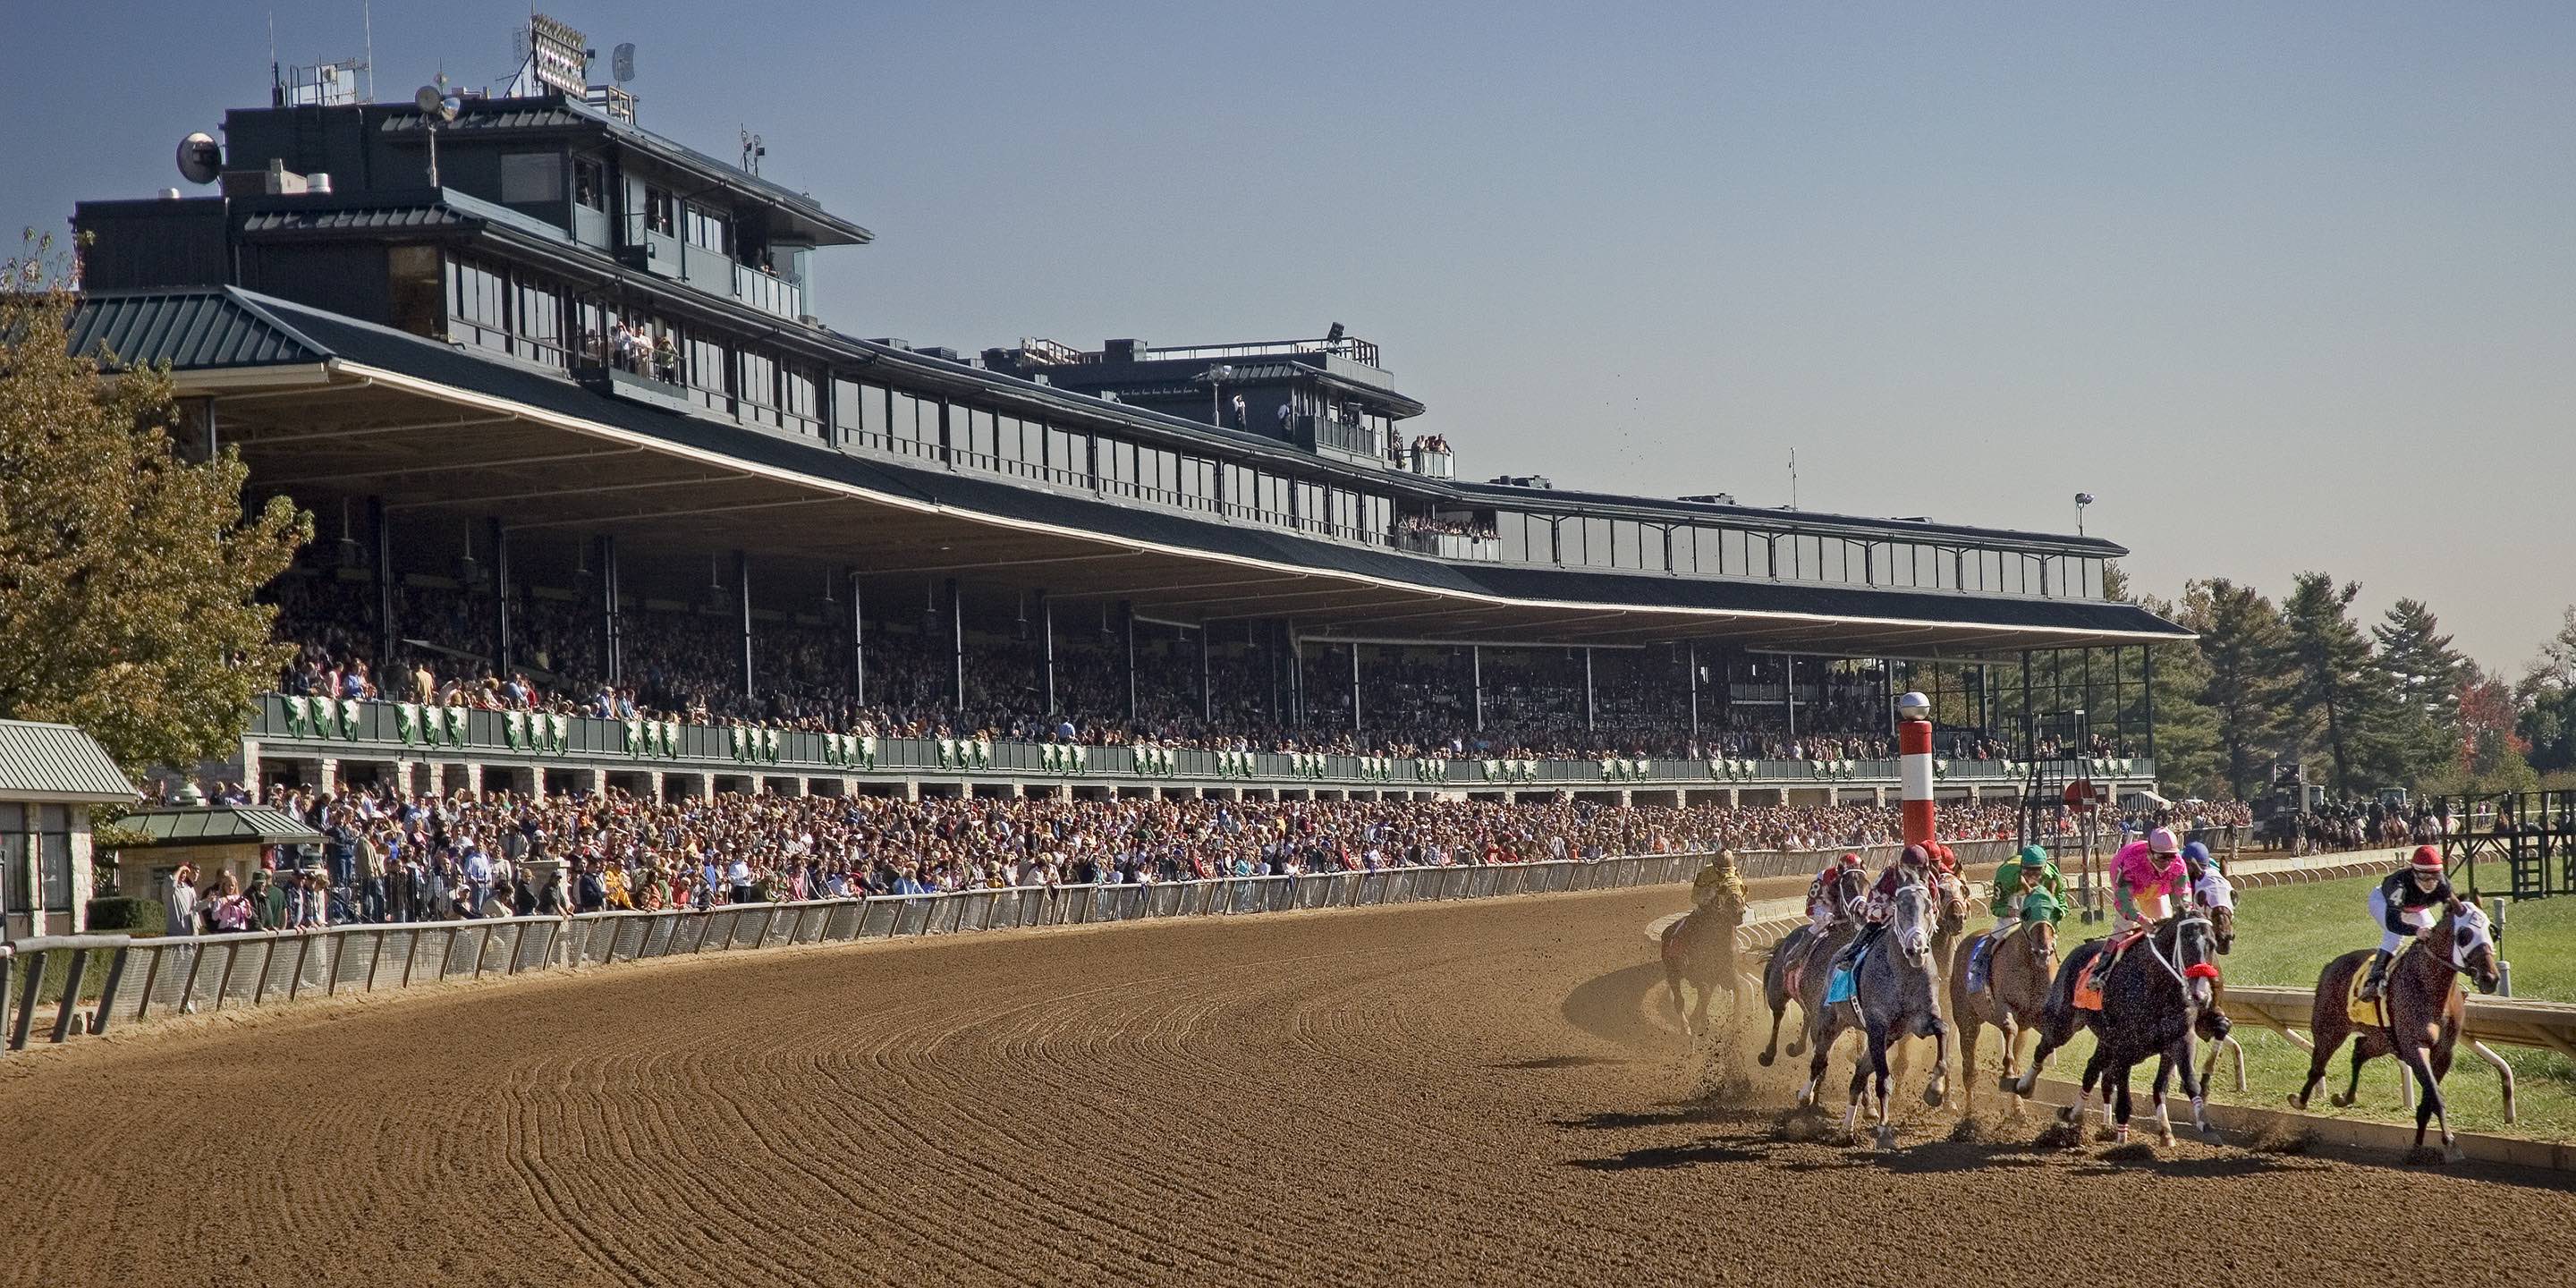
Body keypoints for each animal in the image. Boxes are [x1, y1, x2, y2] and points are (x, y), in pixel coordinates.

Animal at [1658, 896, 1741, 1046]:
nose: (1740, 913)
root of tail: (1667, 931)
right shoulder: (1703, 980)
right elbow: (1700, 1007)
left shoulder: (1727, 977)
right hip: (1672, 973)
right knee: (1680, 1001)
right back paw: (1686, 1029)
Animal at [1803, 876, 1936, 1148]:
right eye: (1900, 907)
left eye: (1928, 906)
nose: (1916, 949)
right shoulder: (1877, 1025)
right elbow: (1881, 1078)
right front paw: (1883, 1128)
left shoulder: (1907, 1026)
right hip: (1830, 1023)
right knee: (1819, 1060)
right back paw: (1805, 1097)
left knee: (1858, 1072)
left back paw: (1848, 1126)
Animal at [2297, 902, 2493, 1164]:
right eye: (2465, 935)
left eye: (2492, 930)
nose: (2491, 977)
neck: (2429, 984)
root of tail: (2330, 965)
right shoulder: (2415, 1046)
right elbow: (2435, 1096)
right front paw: (2450, 1143)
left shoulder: (2443, 1052)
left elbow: (2429, 1100)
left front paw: (2417, 1148)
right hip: (2330, 1028)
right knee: (2318, 1066)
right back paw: (2300, 1100)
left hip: (2382, 1039)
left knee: (2359, 1050)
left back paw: (2345, 1097)